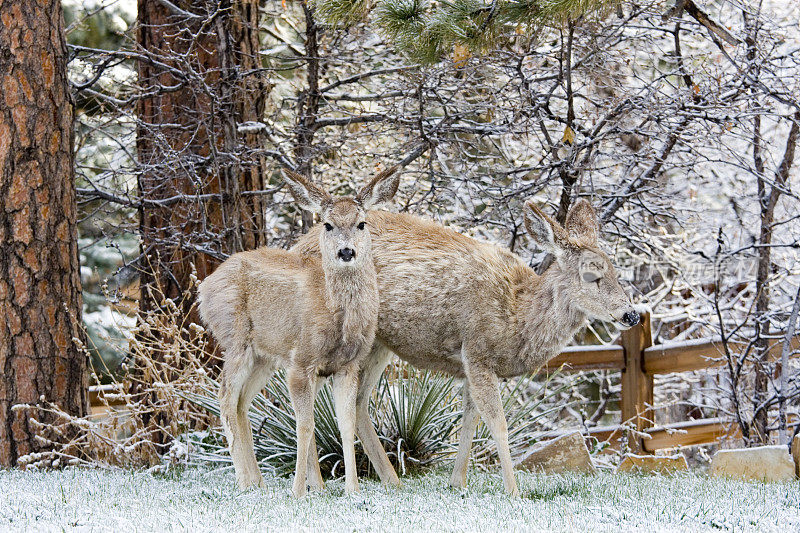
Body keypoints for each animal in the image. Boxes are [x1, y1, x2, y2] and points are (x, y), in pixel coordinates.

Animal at [200, 165, 400, 494]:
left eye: (361, 223)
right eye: (328, 225)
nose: (346, 252)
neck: (337, 317)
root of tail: (203, 288)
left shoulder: (347, 366)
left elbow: (346, 425)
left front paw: (351, 489)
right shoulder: (301, 362)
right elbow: (305, 425)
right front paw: (298, 492)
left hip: (264, 357)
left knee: (242, 402)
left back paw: (258, 482)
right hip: (236, 340)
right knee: (226, 397)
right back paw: (243, 480)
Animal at [294, 197, 644, 496]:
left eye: (616, 271)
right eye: (590, 275)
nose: (631, 314)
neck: (517, 316)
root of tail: (299, 244)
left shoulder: (471, 363)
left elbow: (471, 418)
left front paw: (457, 481)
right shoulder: (476, 350)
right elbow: (498, 423)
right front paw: (513, 491)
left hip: (378, 342)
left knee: (356, 401)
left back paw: (390, 481)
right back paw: (318, 485)